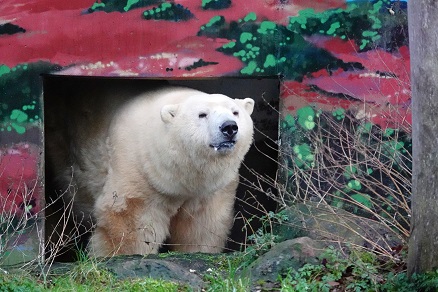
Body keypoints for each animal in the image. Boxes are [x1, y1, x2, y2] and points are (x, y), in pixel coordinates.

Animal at [45, 85, 253, 258]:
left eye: (235, 112)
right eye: (202, 114)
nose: (229, 127)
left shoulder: (210, 188)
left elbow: (203, 223)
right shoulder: (137, 166)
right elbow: (131, 218)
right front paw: (125, 255)